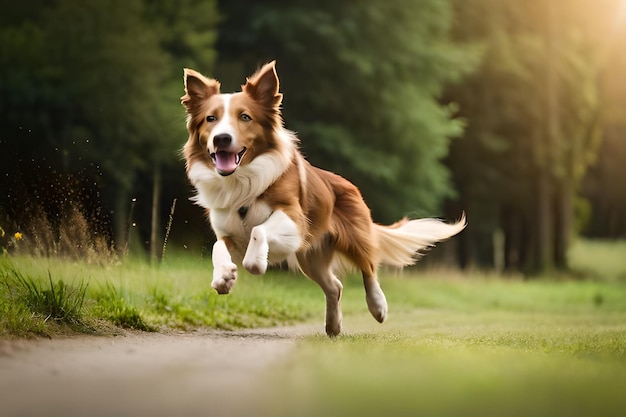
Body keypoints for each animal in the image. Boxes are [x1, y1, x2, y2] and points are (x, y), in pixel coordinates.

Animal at [180, 61, 464, 334]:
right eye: (210, 119)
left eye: (245, 117)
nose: (222, 138)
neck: (242, 180)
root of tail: (349, 184)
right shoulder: (229, 232)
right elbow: (218, 247)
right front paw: (224, 277)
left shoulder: (294, 219)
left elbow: (258, 231)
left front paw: (256, 263)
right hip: (311, 257)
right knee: (334, 286)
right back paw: (333, 326)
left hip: (353, 237)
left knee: (369, 267)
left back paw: (378, 306)